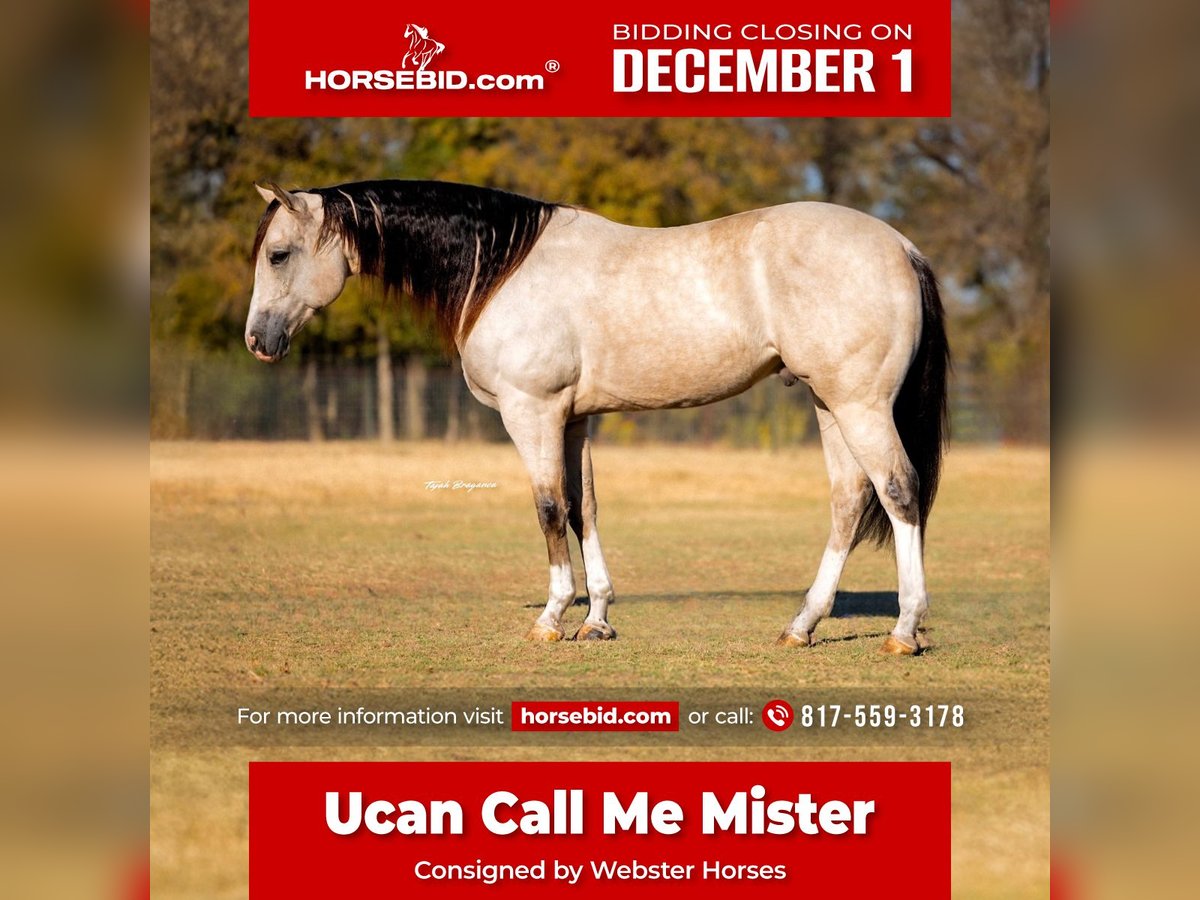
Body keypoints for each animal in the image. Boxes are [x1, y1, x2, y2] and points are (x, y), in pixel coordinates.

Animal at [245, 179, 949, 655]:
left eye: (277, 254)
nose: (257, 340)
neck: (505, 269)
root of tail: (902, 246)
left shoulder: (532, 412)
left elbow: (549, 508)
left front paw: (552, 618)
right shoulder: (574, 419)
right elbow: (584, 507)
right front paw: (596, 619)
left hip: (859, 405)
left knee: (898, 491)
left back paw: (904, 629)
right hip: (830, 404)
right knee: (850, 501)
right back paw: (801, 626)